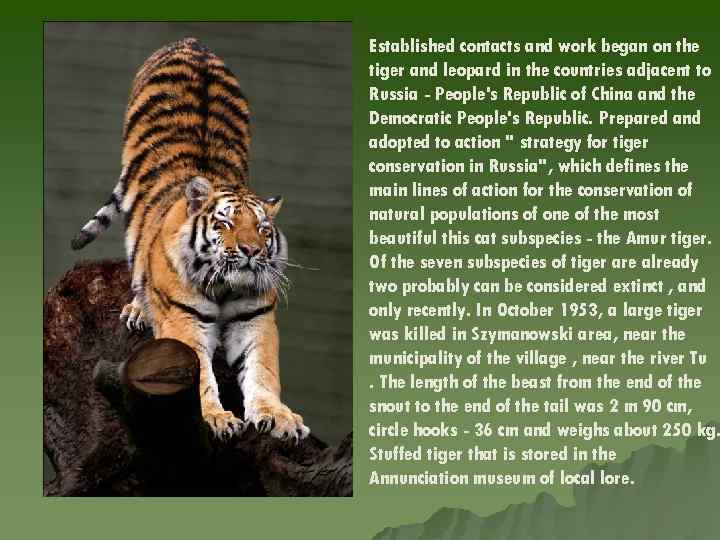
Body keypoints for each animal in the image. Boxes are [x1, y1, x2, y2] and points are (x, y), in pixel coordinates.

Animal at [71, 37, 309, 442]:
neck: (227, 287)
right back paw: (138, 308)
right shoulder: (183, 321)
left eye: (263, 229)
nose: (251, 251)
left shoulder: (255, 320)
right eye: (225, 223)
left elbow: (263, 371)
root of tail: (191, 42)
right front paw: (215, 417)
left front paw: (277, 416)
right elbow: (199, 375)